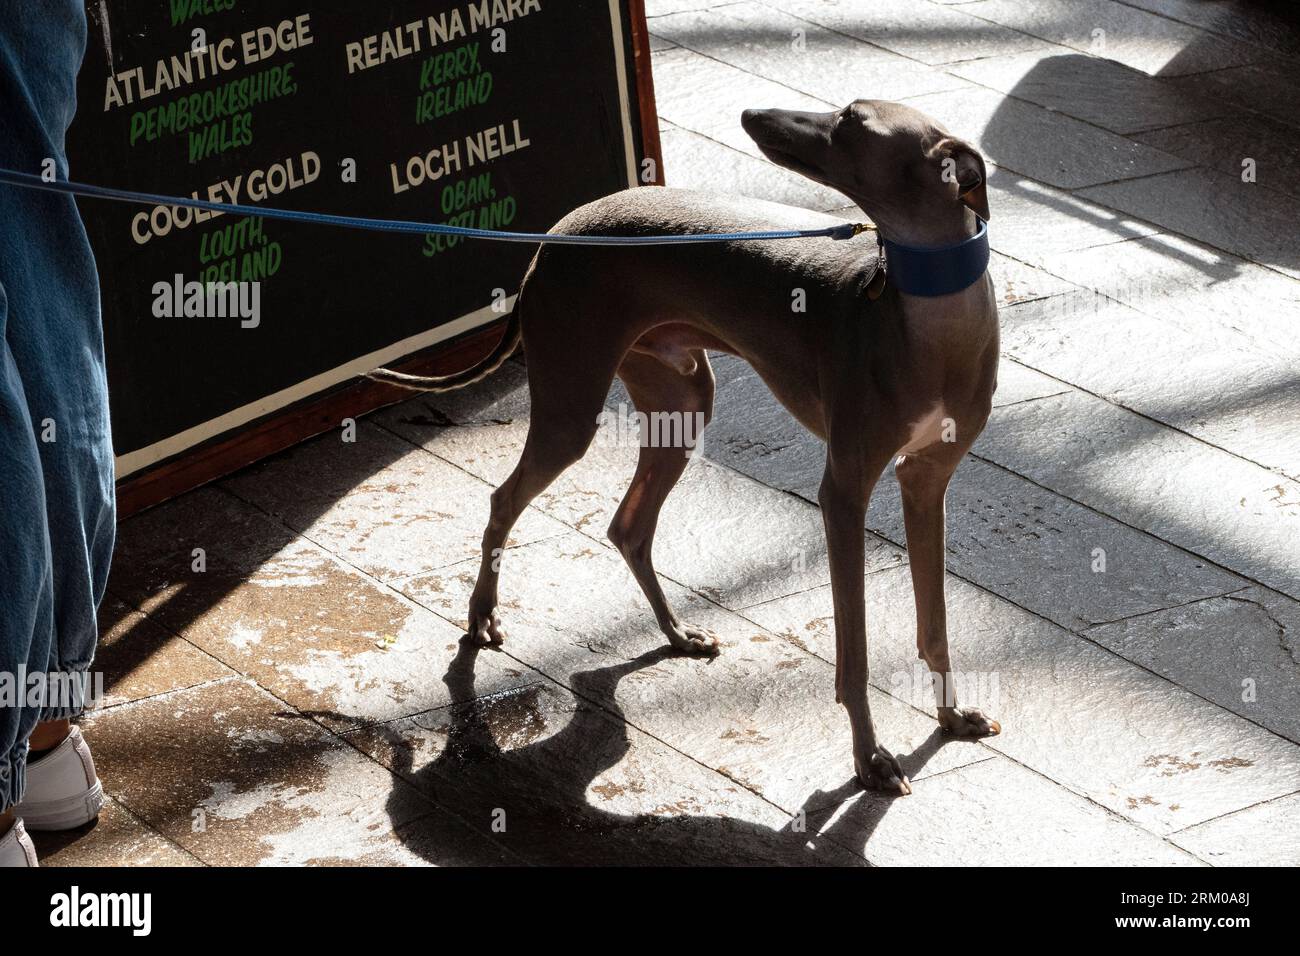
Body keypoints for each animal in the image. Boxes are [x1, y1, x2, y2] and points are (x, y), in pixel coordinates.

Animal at [371, 102, 998, 790]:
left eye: (851, 123)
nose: (752, 113)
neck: (929, 317)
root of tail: (554, 236)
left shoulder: (926, 483)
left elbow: (934, 623)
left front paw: (952, 717)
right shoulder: (843, 494)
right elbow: (854, 656)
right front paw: (870, 757)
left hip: (683, 404)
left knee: (627, 525)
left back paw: (675, 633)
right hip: (573, 412)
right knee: (505, 500)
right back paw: (482, 616)